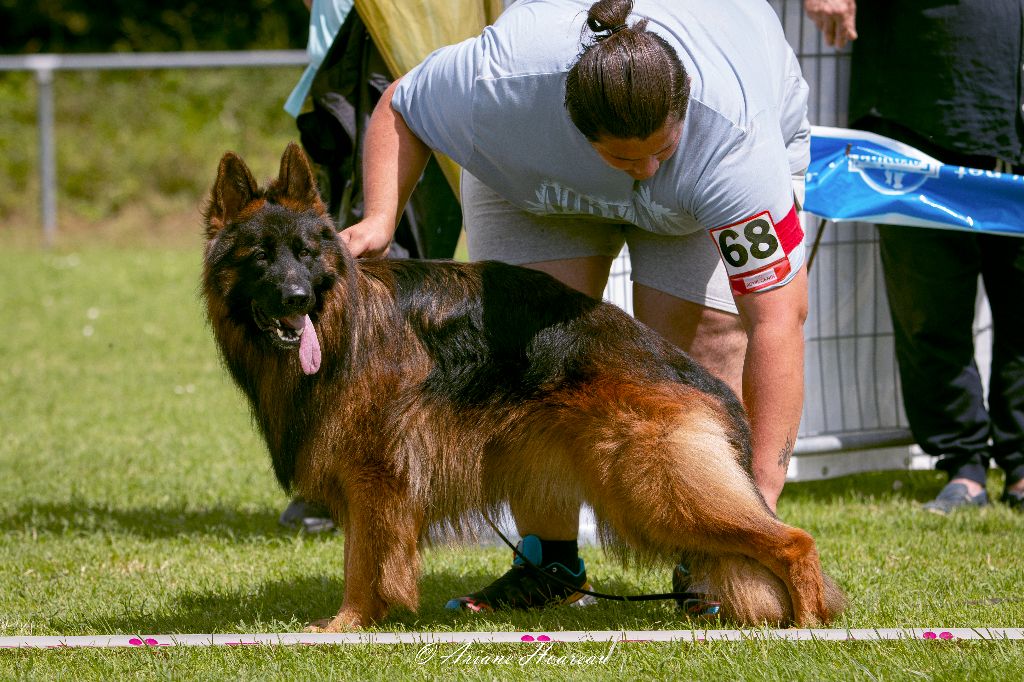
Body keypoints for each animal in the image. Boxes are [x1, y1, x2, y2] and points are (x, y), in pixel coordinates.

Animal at [203, 142, 843, 626]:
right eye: (261, 256)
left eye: (307, 254)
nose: (296, 299)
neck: (343, 327)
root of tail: (685, 369)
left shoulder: (374, 481)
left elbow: (361, 565)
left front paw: (347, 624)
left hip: (654, 491)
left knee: (794, 541)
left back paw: (811, 625)